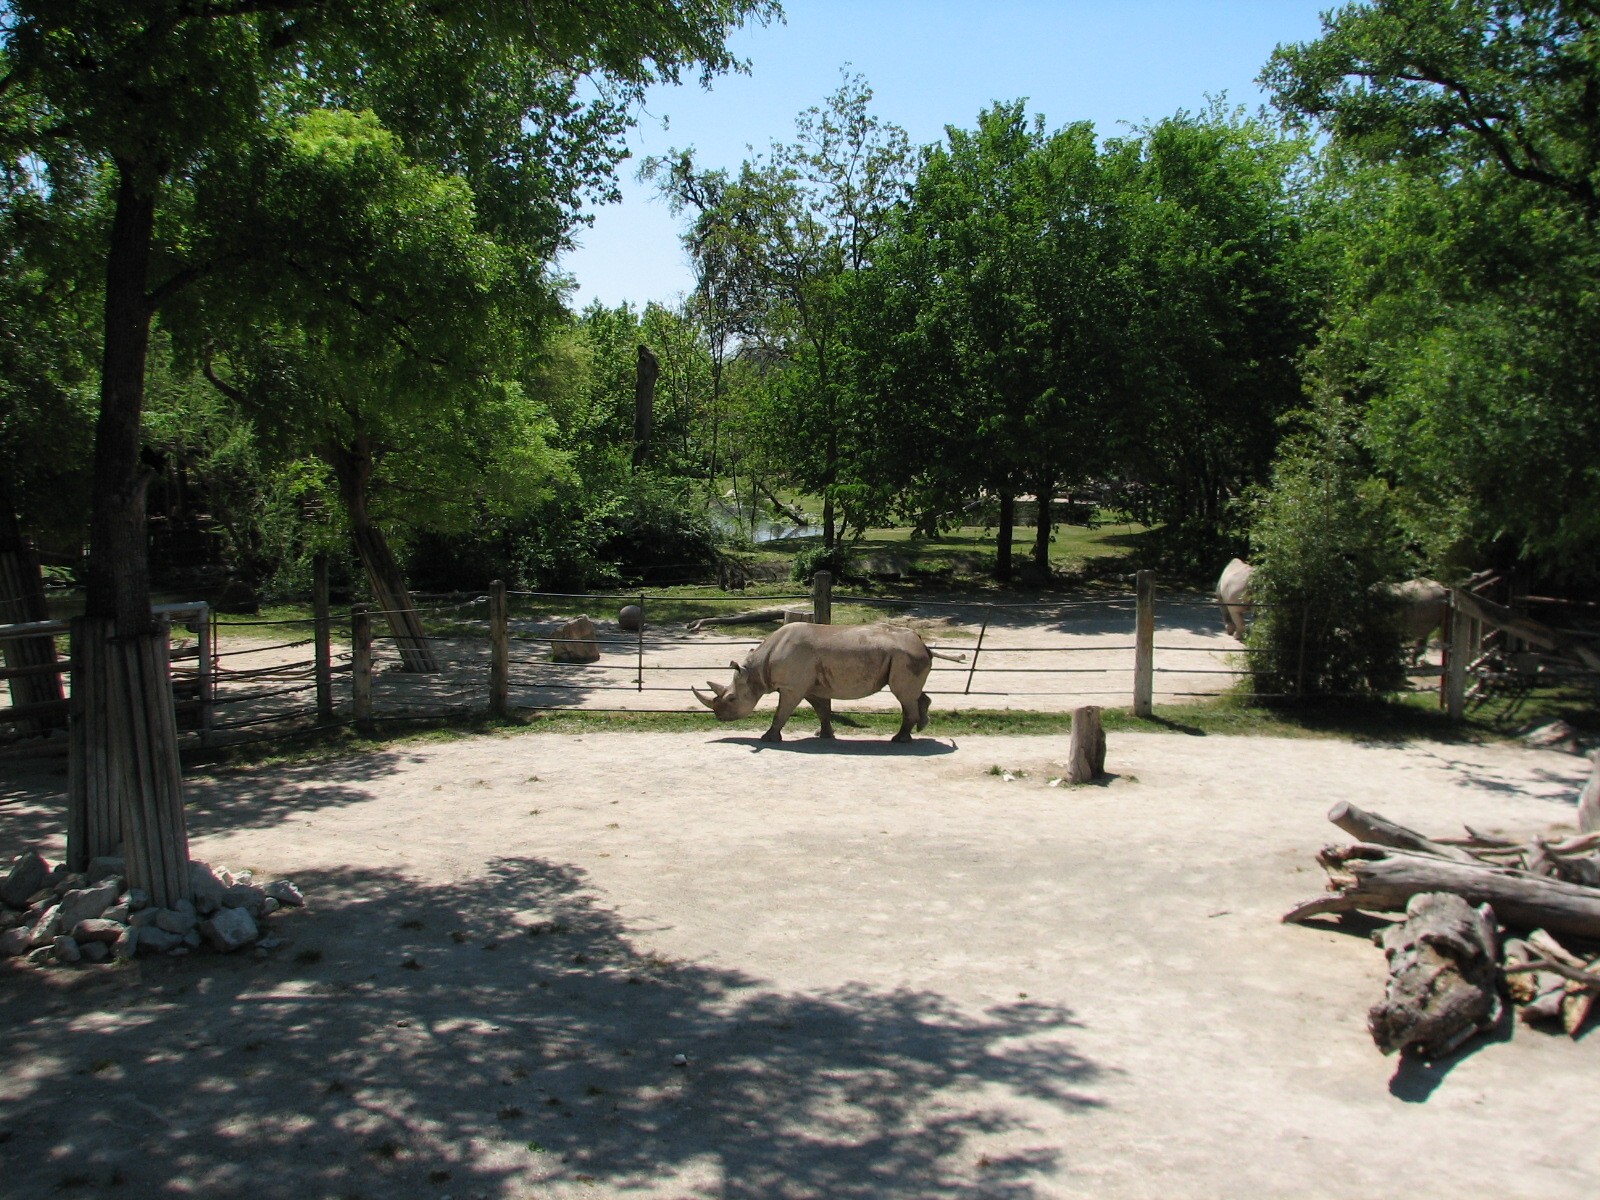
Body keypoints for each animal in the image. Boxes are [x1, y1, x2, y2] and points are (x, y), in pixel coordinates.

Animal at [693, 622, 940, 743]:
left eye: (731, 698)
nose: (719, 717)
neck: (756, 670)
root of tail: (922, 643)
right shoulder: (809, 686)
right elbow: (821, 710)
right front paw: (826, 735)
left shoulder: (792, 687)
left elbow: (781, 712)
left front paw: (768, 739)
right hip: (906, 657)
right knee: (912, 694)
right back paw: (921, 726)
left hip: (905, 656)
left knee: (903, 695)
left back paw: (899, 740)